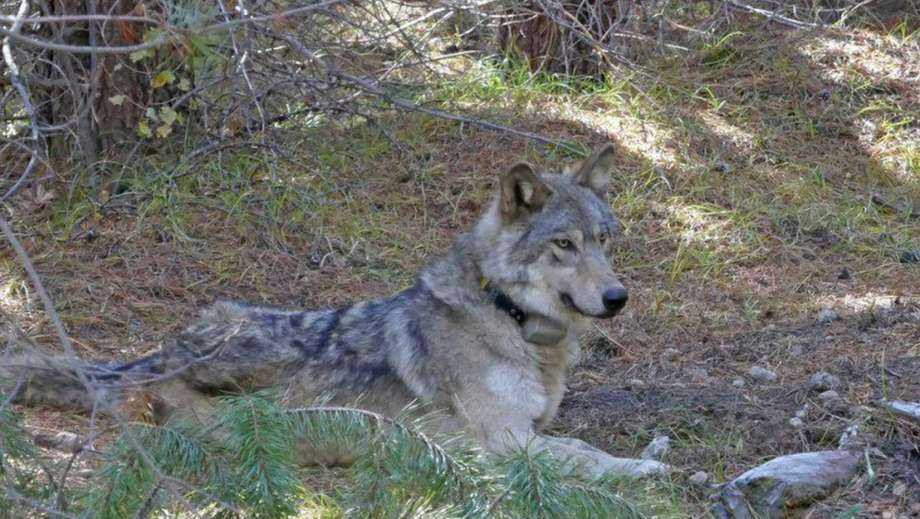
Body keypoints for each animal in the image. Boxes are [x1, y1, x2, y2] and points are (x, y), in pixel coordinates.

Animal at [3, 146, 672, 480]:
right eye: (564, 245)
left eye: (604, 240)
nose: (618, 298)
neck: (509, 319)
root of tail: (155, 355)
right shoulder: (506, 441)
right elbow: (585, 457)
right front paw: (640, 468)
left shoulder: (529, 429)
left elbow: (576, 441)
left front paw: (651, 450)